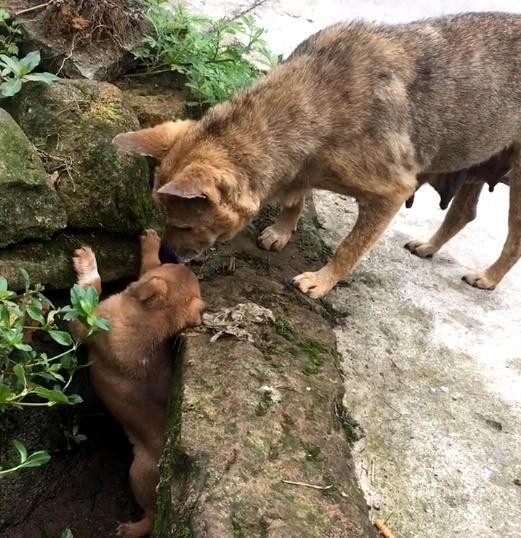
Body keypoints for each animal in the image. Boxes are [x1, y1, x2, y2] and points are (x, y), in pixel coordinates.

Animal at [70, 228, 203, 532]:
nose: (185, 260)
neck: (149, 325)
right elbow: (148, 264)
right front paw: (152, 242)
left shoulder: (85, 324)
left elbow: (92, 287)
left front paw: (86, 263)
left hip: (139, 474)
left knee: (152, 518)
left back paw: (131, 529)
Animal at [112, 11, 520, 298]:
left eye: (187, 226)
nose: (164, 257)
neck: (314, 104)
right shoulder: (299, 168)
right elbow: (295, 199)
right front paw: (282, 230)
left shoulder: (391, 192)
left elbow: (348, 248)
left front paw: (323, 282)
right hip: (475, 162)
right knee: (463, 213)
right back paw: (431, 246)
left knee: (512, 241)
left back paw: (488, 277)